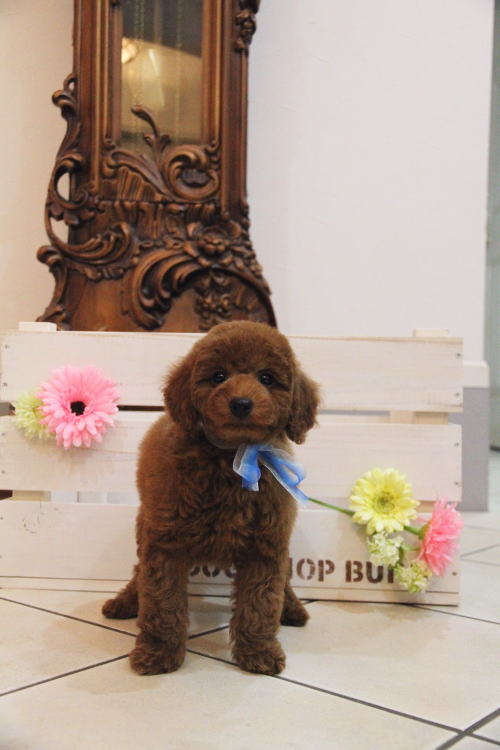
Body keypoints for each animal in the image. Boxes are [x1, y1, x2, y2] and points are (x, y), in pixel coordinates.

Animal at [102, 320, 319, 675]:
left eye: (266, 378)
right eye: (218, 376)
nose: (242, 403)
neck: (232, 456)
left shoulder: (265, 547)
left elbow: (261, 604)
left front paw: (258, 652)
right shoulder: (165, 545)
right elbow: (162, 602)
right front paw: (158, 652)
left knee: (282, 582)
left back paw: (292, 608)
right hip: (145, 527)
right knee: (139, 572)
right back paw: (125, 601)